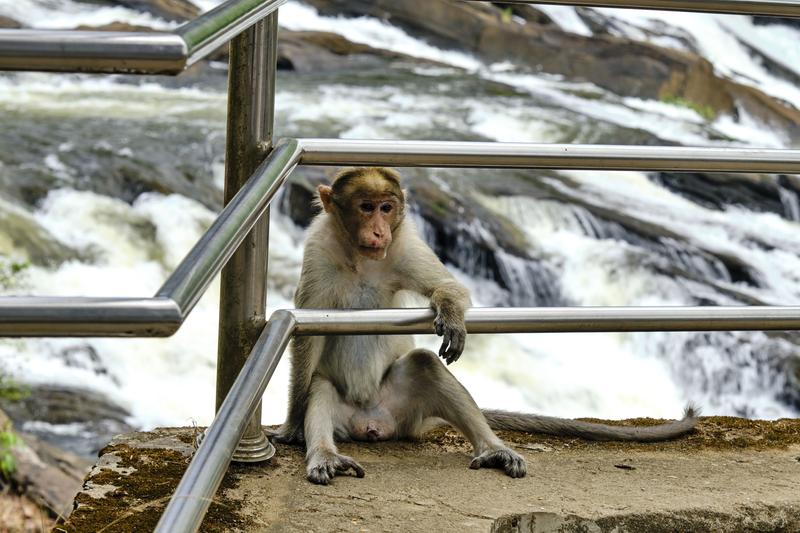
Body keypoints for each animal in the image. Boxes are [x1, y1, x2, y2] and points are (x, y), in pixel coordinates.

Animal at [276, 168, 700, 484]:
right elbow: (306, 337)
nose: (379, 231)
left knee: (425, 366)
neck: (360, 257)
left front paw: (451, 313)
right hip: (347, 416)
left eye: (386, 207)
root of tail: (374, 424)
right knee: (320, 388)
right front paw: (294, 423)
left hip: (403, 409)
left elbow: (447, 286)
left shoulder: (403, 243)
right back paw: (324, 454)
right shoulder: (318, 249)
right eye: (365, 208)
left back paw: (492, 448)